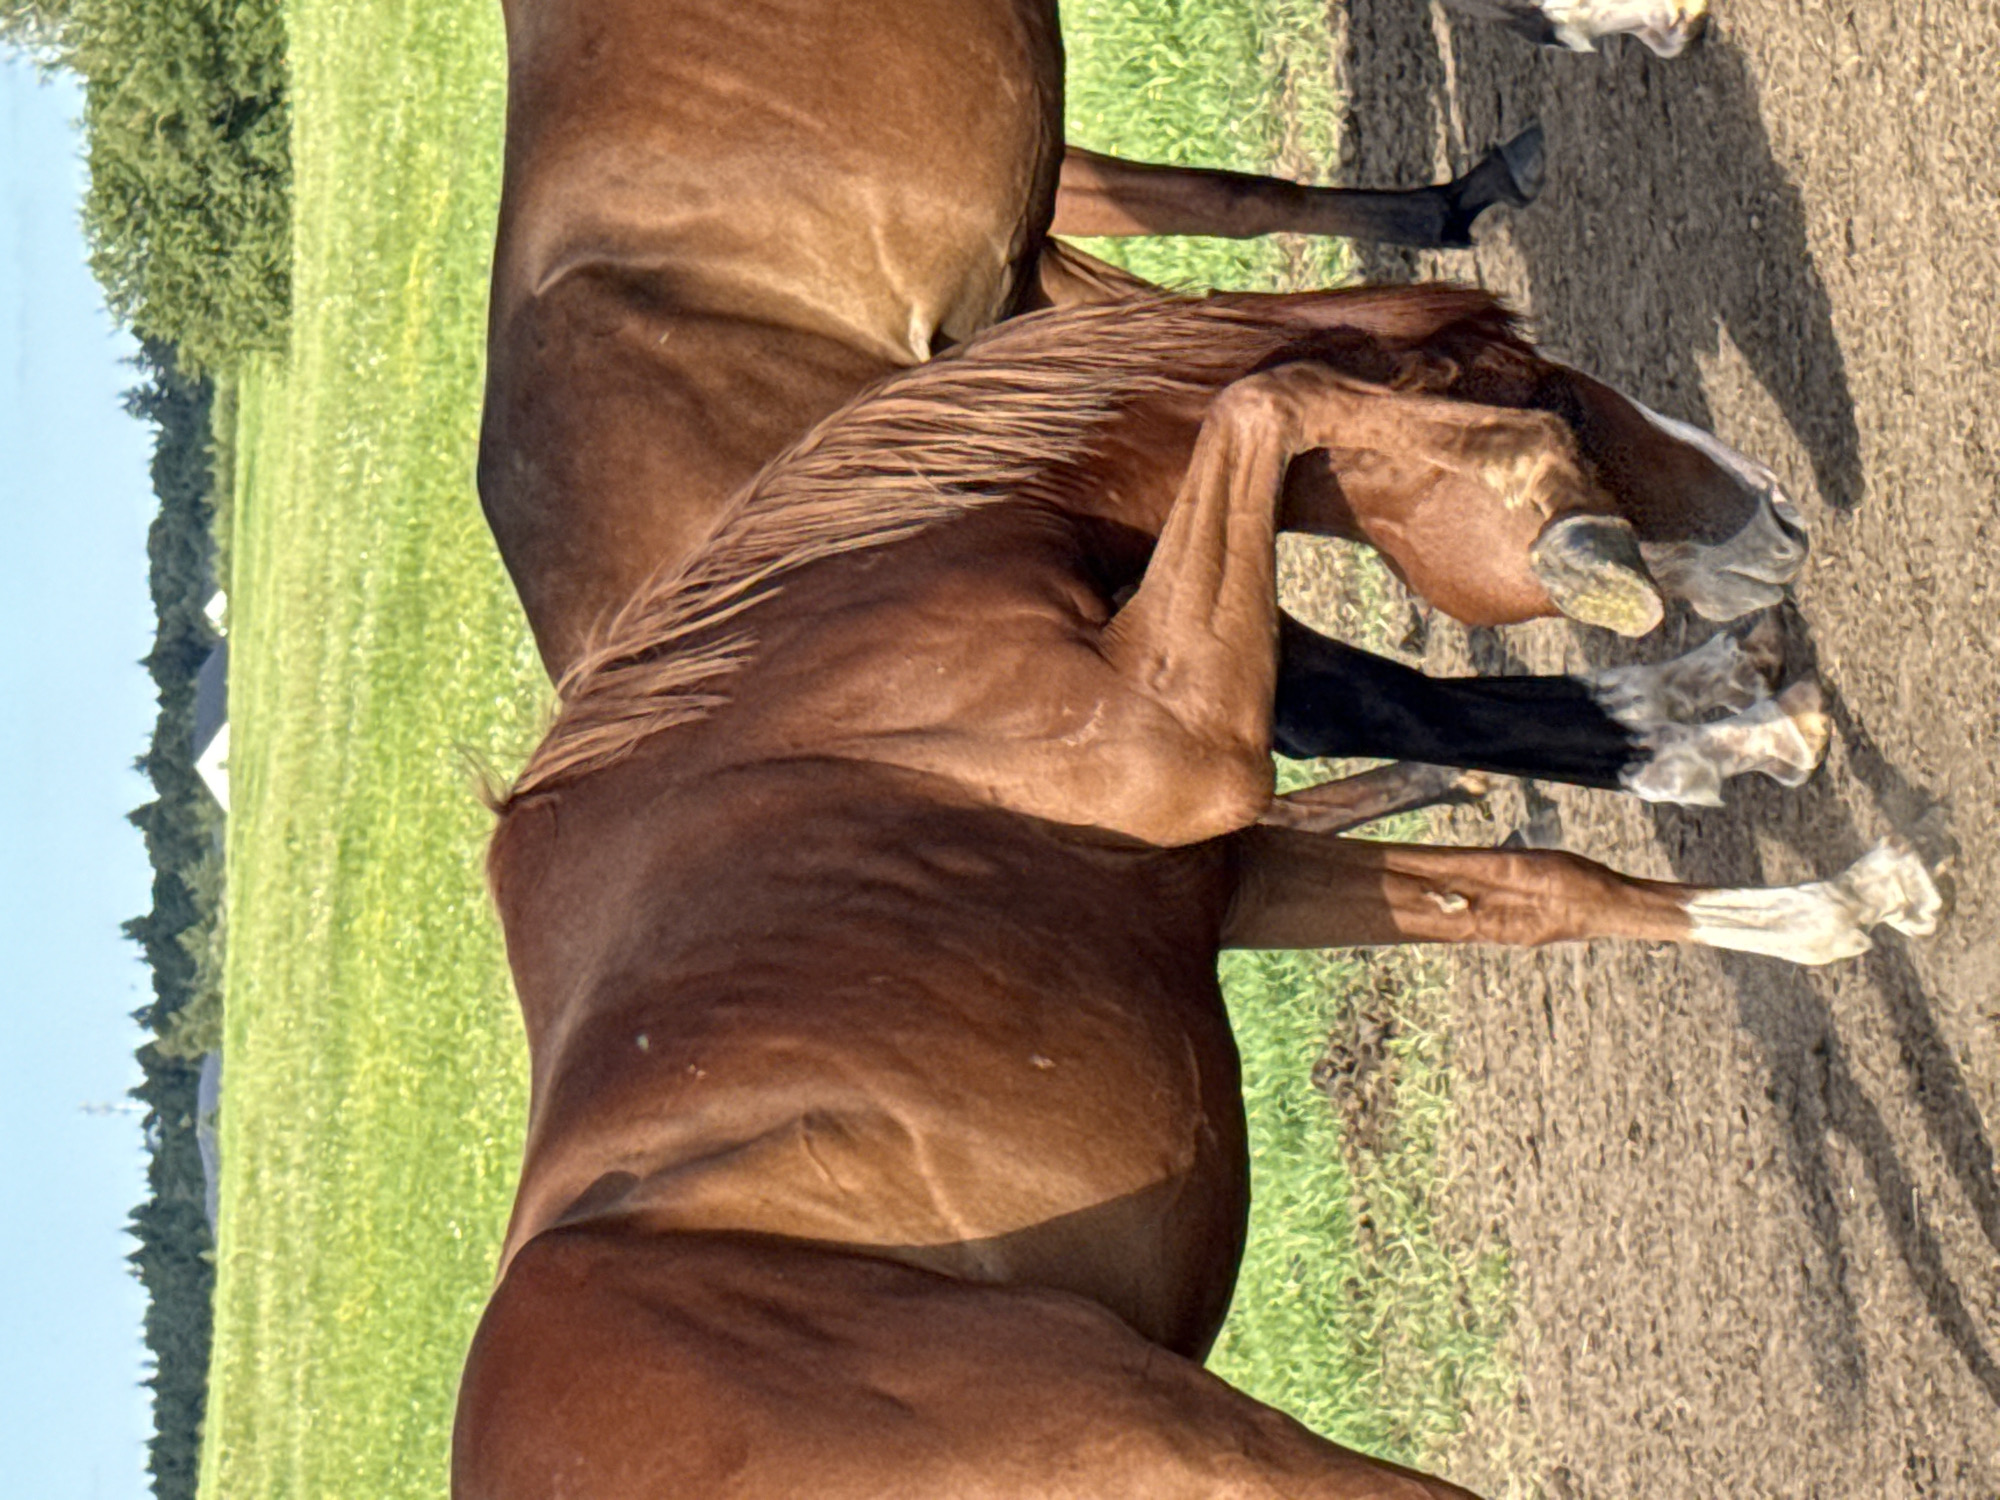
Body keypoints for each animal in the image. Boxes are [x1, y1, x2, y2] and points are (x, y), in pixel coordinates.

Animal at [453, 288, 1940, 1500]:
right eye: (1553, 399)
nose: (1779, 519)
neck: (846, 659)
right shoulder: (1182, 752)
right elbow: (1263, 399)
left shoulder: (1236, 871)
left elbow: (1537, 887)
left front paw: (1838, 900)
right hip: (1213, 1455)